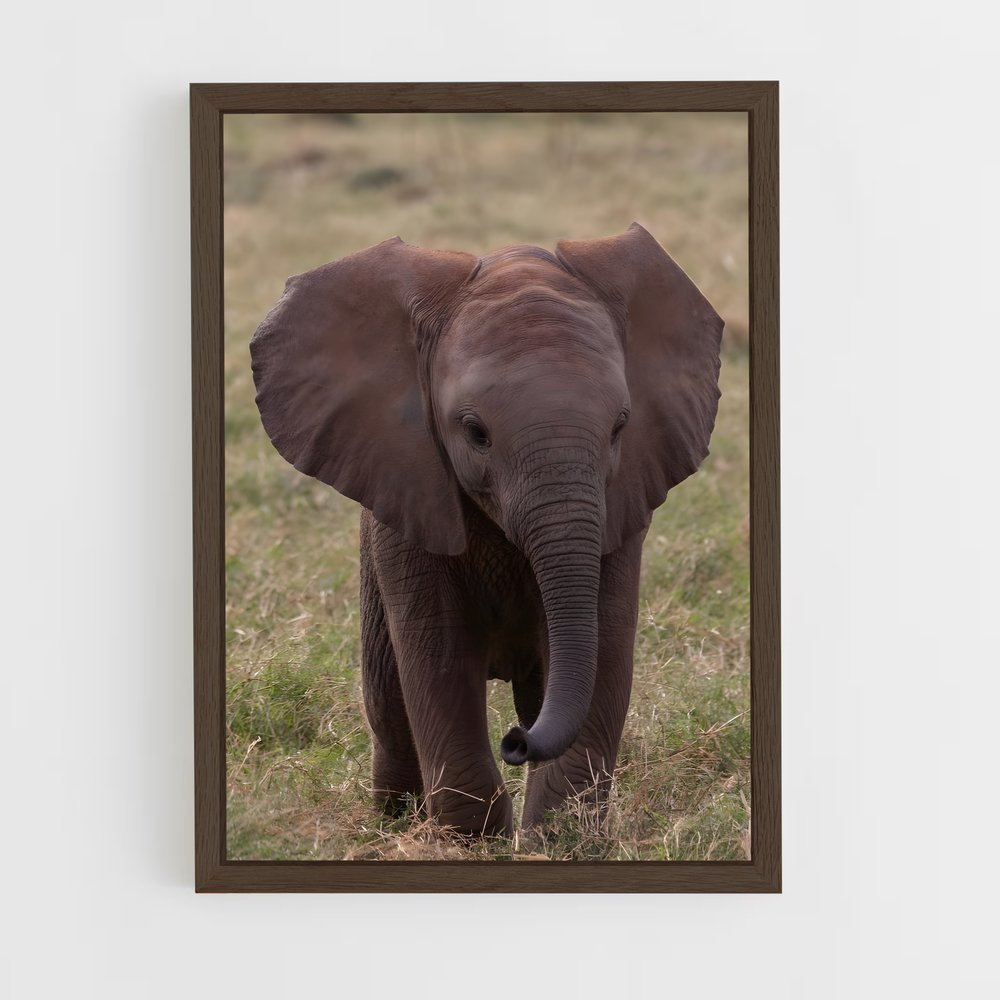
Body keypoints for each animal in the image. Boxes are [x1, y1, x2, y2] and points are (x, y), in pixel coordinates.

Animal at [250, 223, 723, 837]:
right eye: (475, 432)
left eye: (621, 427)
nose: (515, 743)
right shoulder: (408, 496)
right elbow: (438, 654)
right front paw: (473, 840)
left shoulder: (622, 503)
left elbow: (605, 643)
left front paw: (559, 838)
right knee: (389, 707)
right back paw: (395, 822)